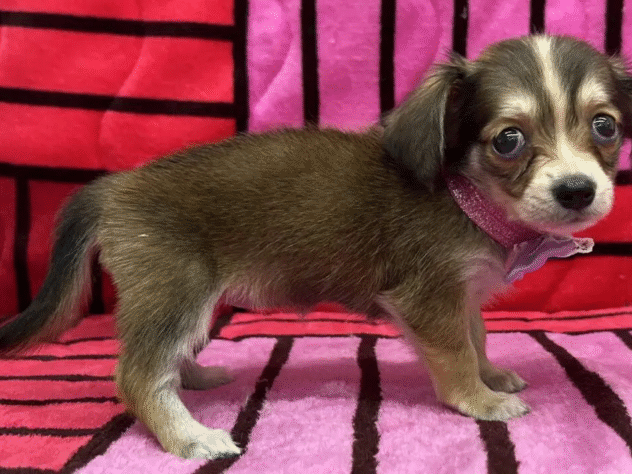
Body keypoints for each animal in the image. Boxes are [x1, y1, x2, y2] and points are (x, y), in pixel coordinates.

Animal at [1, 34, 630, 460]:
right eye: (508, 140)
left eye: (605, 127)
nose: (578, 190)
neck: (468, 198)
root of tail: (114, 187)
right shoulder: (427, 297)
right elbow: (454, 355)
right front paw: (480, 400)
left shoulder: (461, 295)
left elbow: (476, 338)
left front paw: (493, 375)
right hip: (176, 290)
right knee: (137, 374)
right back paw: (190, 437)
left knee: (161, 359)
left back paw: (193, 379)